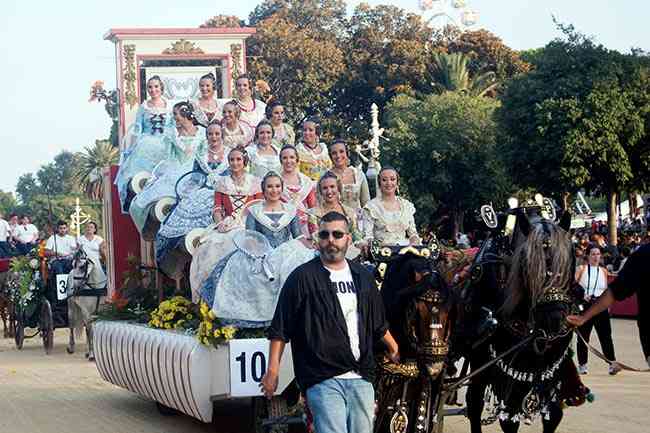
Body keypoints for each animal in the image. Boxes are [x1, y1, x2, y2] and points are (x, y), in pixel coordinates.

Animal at [456, 206, 588, 432]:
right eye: (527, 262)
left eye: (571, 257)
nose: (554, 318)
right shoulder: (509, 372)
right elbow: (509, 418)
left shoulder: (552, 369)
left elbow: (553, 415)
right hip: (479, 360)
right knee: (474, 403)